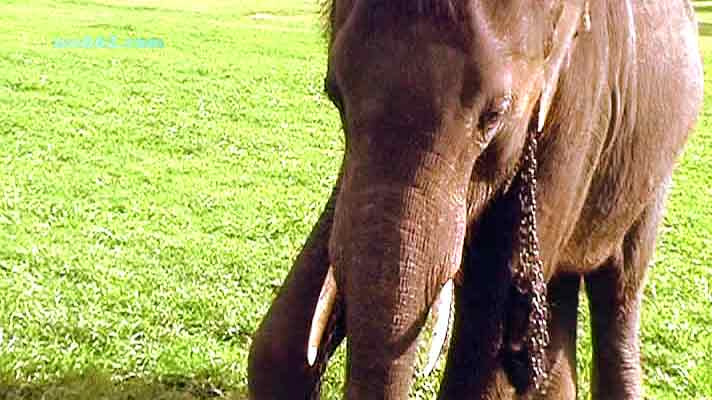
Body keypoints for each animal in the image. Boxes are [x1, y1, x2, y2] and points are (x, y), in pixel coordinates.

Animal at [248, 0, 704, 398]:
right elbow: (278, 344)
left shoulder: (580, 104)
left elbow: (486, 352)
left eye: (495, 115)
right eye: (334, 95)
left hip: (655, 172)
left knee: (620, 288)